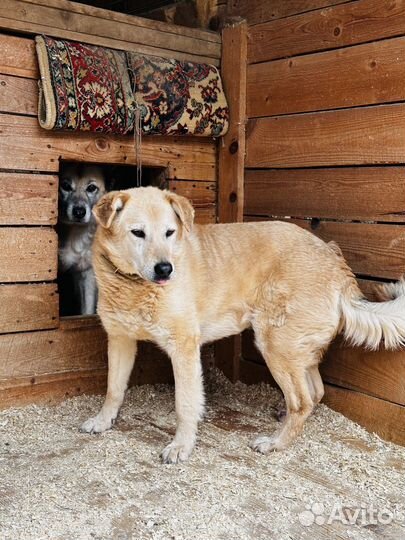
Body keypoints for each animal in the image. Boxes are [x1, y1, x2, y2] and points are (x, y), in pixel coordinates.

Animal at [80, 187, 404, 464]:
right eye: (138, 233)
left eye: (169, 233)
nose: (165, 269)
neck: (133, 285)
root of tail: (333, 259)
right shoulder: (120, 340)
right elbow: (113, 388)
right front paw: (103, 421)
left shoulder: (184, 349)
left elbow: (185, 404)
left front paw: (181, 446)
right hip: (296, 347)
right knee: (316, 392)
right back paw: (284, 417)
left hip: (275, 345)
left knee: (302, 400)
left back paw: (276, 443)